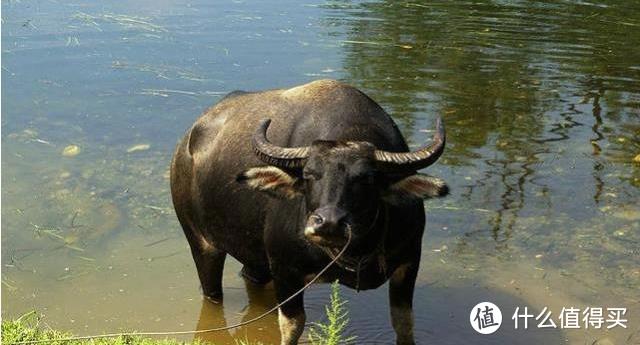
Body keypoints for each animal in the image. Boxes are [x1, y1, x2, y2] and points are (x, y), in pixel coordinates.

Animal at [172, 79, 448, 342]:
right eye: (308, 175)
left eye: (367, 179)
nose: (328, 223)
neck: (355, 253)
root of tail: (186, 144)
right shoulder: (285, 270)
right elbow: (292, 326)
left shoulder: (409, 263)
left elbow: (404, 324)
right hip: (201, 243)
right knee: (212, 291)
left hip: (254, 257)